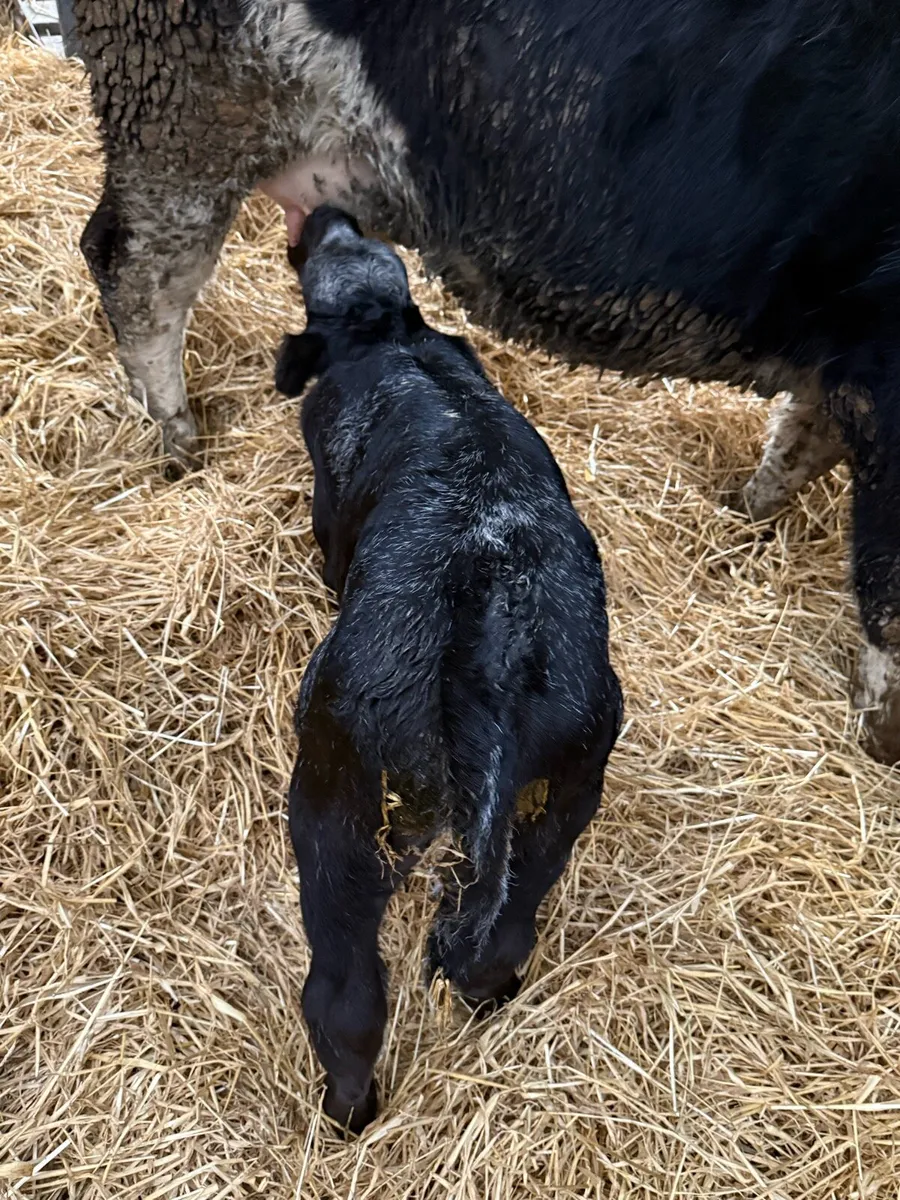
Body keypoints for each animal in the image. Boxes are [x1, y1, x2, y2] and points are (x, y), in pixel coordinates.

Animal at [72, 0, 900, 765]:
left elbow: (795, 448)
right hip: (182, 103)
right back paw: (177, 444)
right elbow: (886, 593)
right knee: (135, 272)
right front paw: (883, 741)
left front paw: (743, 522)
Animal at [276, 205, 622, 1131]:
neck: (395, 342)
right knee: (503, 931)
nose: (327, 212)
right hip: (576, 781)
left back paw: (347, 1114)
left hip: (336, 796)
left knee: (347, 1000)